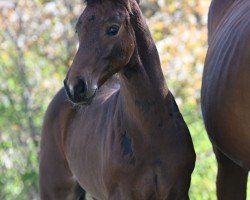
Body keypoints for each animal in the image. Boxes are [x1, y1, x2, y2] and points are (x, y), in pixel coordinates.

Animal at [39, 0, 195, 199]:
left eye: (113, 29)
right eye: (78, 29)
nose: (75, 87)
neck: (150, 134)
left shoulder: (178, 191)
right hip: (55, 188)